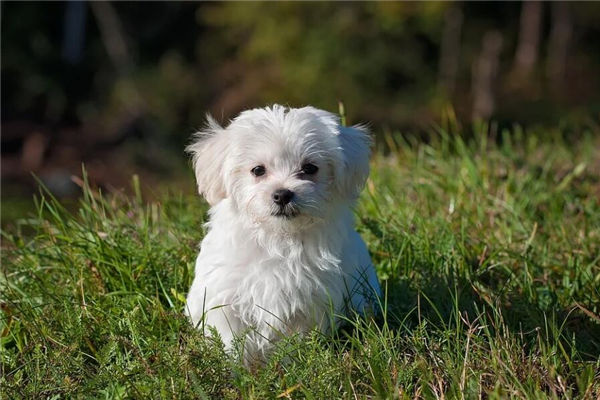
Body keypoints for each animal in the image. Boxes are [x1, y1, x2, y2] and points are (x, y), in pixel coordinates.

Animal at [185, 104, 380, 360]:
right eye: (258, 170)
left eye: (309, 168)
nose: (282, 194)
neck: (278, 238)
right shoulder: (224, 297)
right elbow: (230, 338)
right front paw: (235, 366)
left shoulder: (310, 302)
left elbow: (296, 340)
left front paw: (293, 361)